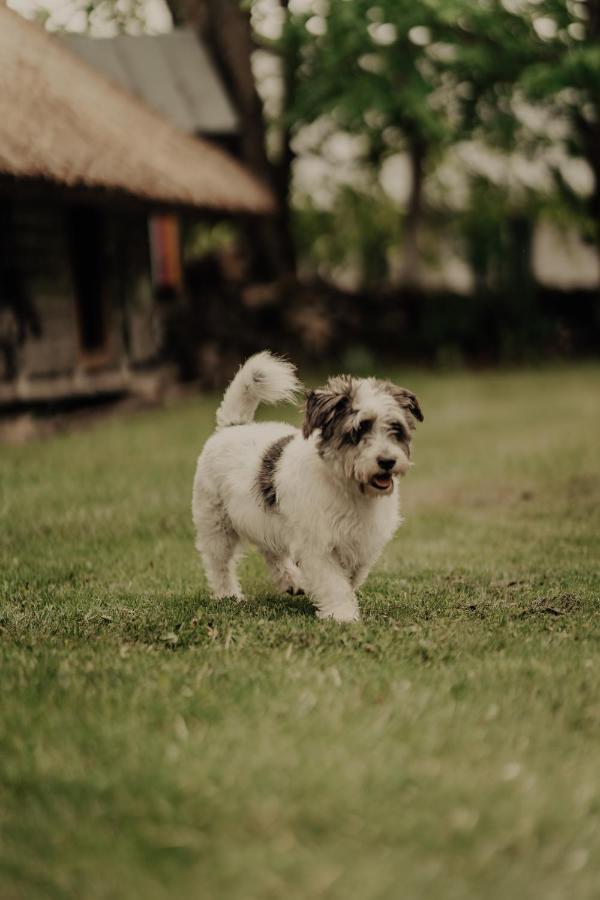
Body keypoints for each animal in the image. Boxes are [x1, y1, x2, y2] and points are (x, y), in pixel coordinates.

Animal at [192, 350, 422, 620]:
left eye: (396, 429)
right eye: (357, 430)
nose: (387, 461)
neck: (348, 489)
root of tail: (233, 426)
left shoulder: (363, 544)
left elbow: (352, 576)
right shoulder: (317, 547)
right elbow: (334, 582)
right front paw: (342, 615)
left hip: (265, 519)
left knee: (272, 552)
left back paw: (291, 581)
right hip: (217, 525)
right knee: (219, 563)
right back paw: (227, 595)